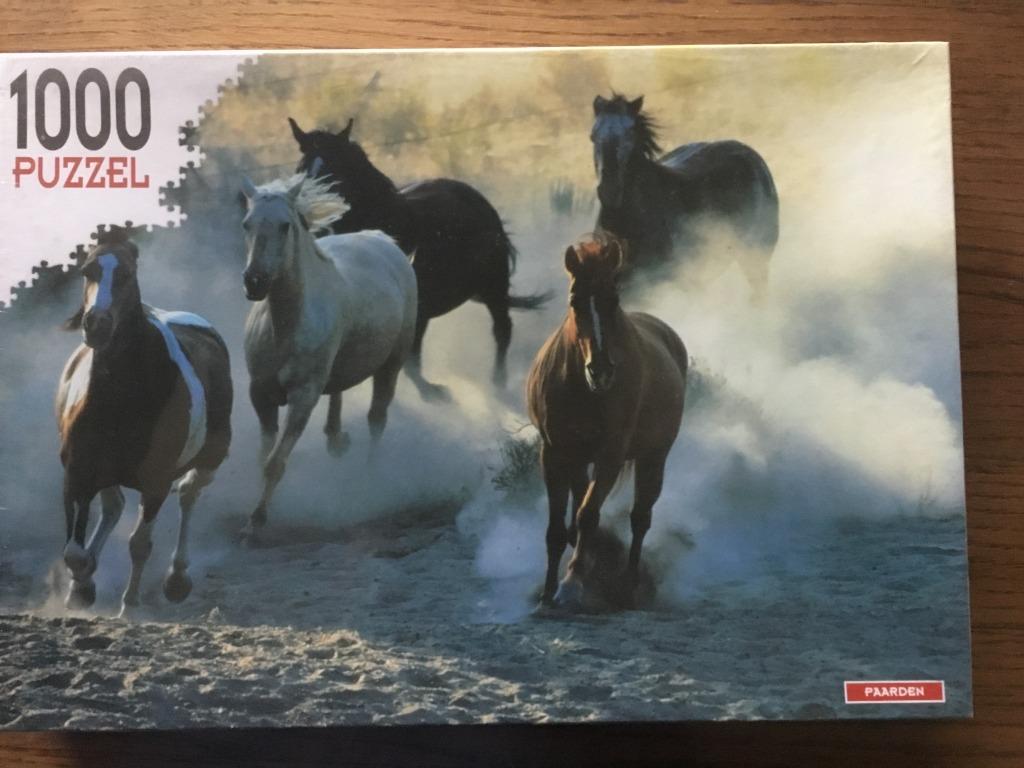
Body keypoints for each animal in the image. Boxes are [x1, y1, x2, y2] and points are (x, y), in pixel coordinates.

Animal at [56, 228, 232, 616]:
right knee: (113, 507)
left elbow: (140, 544)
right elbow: (75, 553)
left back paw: (177, 579)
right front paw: (81, 587)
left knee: (190, 493)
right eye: (87, 271)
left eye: (126, 274)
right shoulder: (78, 471)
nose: (96, 324)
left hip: (213, 456)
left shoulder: (155, 482)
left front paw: (130, 606)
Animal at [240, 173, 417, 538]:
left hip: (391, 365)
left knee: (377, 419)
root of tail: (383, 240)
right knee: (337, 389)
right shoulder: (259, 392)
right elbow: (264, 456)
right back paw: (337, 440)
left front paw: (256, 521)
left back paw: (368, 477)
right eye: (247, 223)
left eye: (285, 226)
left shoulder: (303, 396)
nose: (254, 282)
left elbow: (275, 462)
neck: (286, 325)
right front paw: (255, 513)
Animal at [288, 117, 550, 402]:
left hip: (493, 286)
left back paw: (498, 383)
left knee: (502, 330)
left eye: (333, 171)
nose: (306, 217)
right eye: (301, 169)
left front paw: (432, 393)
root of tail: (477, 200)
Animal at [526, 236, 688, 609]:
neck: (581, 389)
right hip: (578, 459)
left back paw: (628, 584)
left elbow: (587, 515)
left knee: (640, 518)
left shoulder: (610, 456)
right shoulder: (554, 454)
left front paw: (571, 583)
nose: (600, 371)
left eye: (613, 300)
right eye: (575, 300)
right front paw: (546, 593)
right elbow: (556, 528)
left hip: (653, 458)